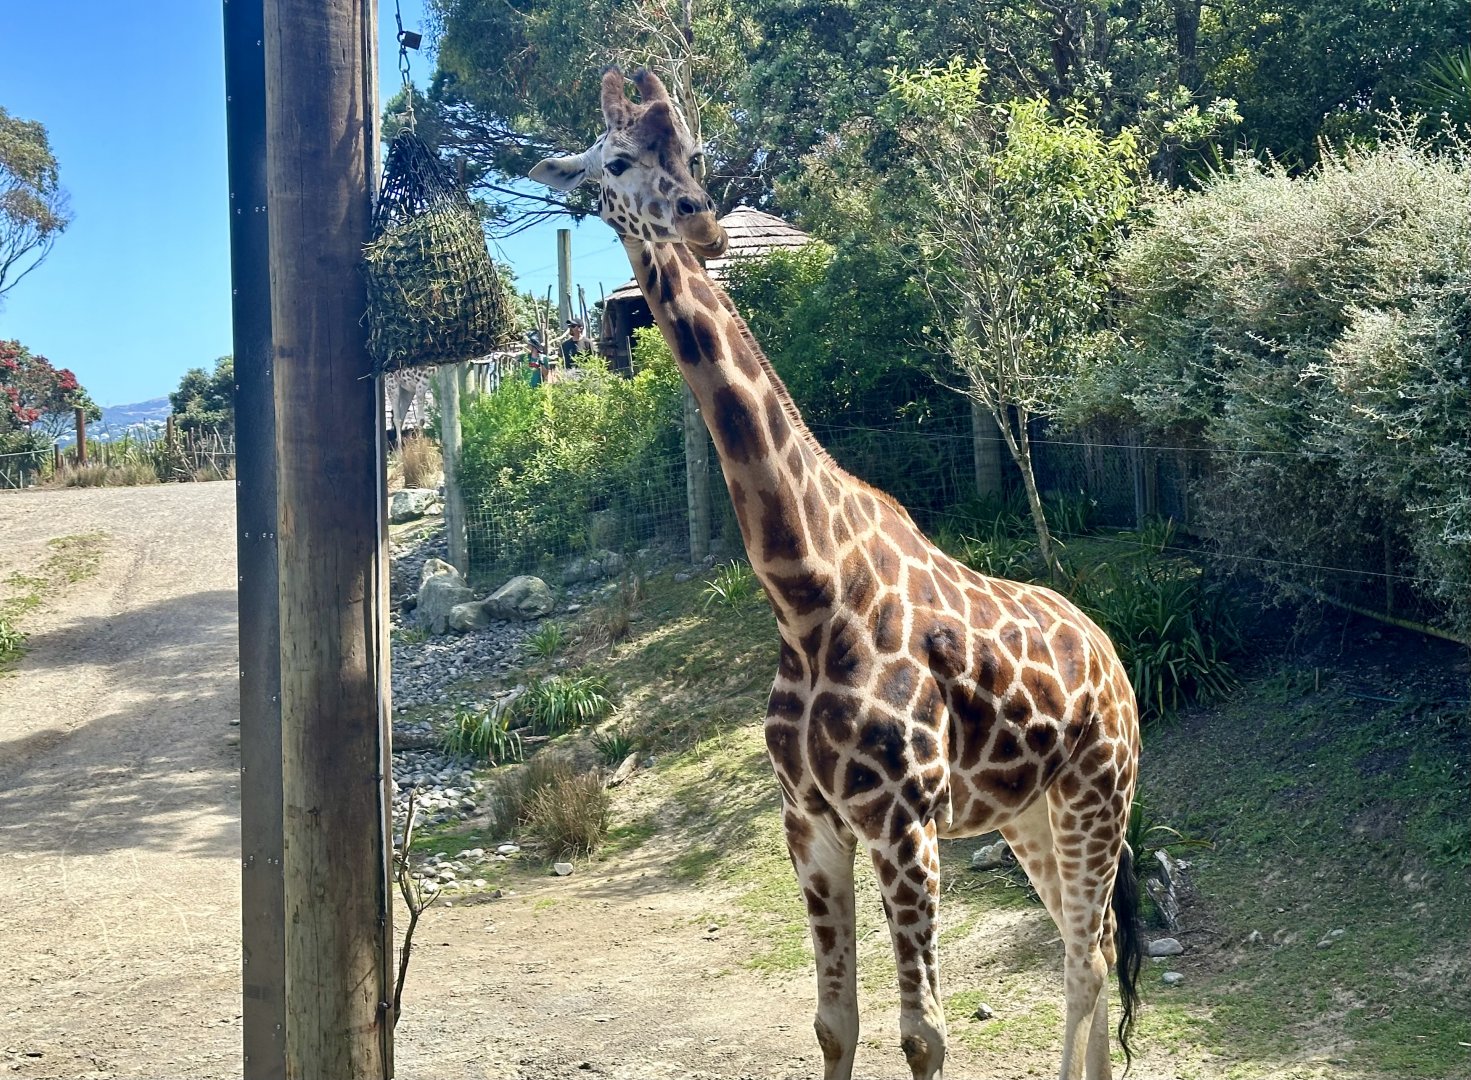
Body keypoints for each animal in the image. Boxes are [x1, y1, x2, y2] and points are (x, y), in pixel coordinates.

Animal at [532, 69, 1144, 1080]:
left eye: (690, 152)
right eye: (615, 162)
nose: (702, 223)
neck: (806, 594)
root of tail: (1116, 662)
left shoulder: (902, 821)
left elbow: (923, 1035)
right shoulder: (810, 823)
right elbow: (834, 1022)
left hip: (1099, 791)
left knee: (1086, 958)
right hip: (1028, 812)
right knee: (1084, 940)